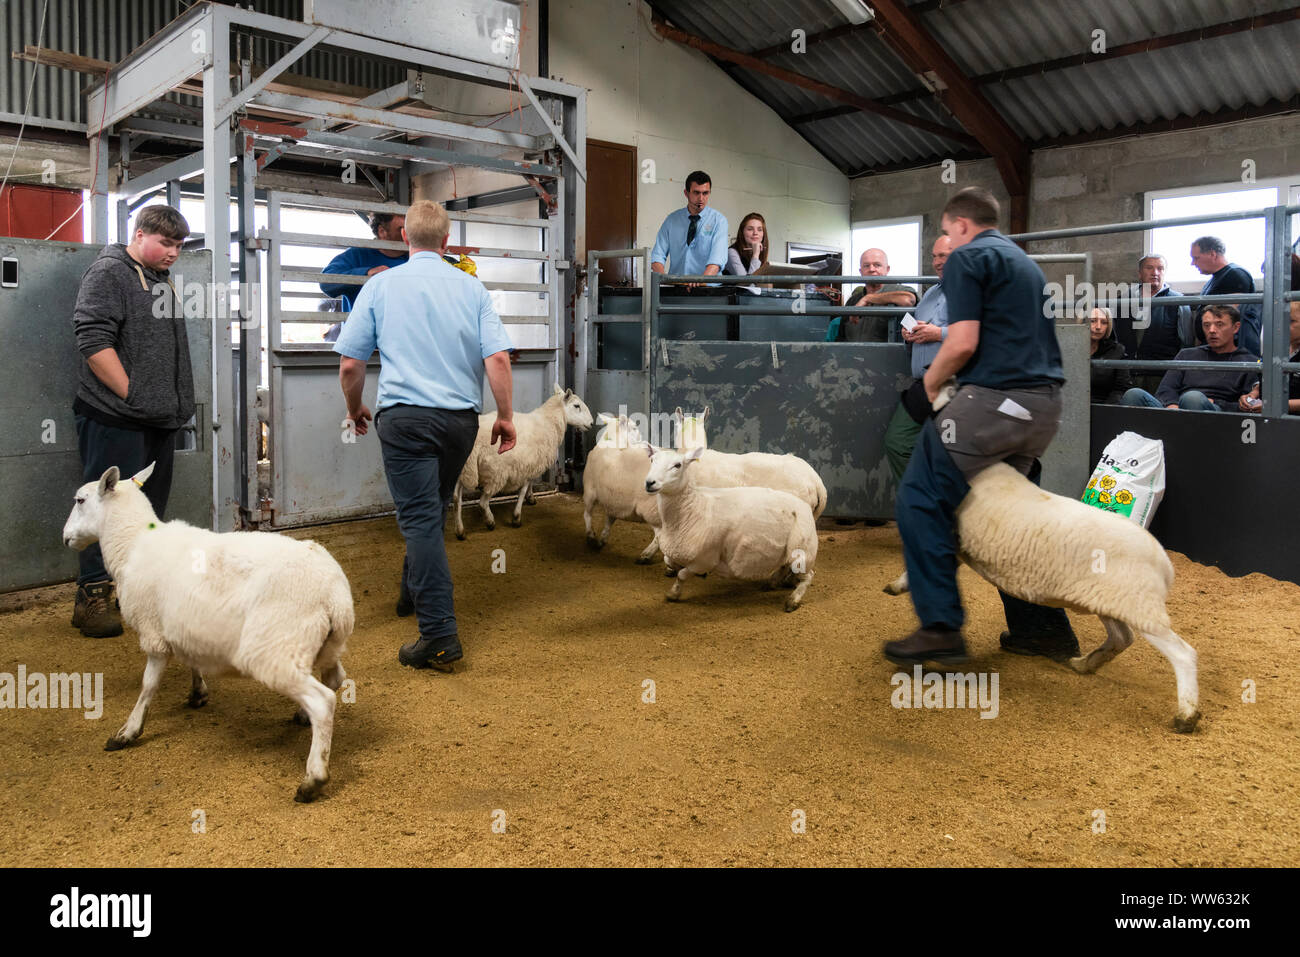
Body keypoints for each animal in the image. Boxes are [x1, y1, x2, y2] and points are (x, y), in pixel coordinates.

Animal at [62, 462, 351, 800]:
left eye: (80, 500)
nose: (65, 537)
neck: (132, 542)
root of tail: (335, 595)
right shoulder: (186, 624)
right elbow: (191, 658)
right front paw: (198, 691)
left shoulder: (153, 634)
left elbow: (148, 686)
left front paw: (128, 731)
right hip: (325, 645)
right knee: (334, 679)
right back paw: (304, 717)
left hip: (273, 648)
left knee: (323, 701)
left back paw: (313, 779)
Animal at [452, 382, 595, 538]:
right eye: (576, 406)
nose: (591, 423)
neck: (548, 421)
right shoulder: (527, 465)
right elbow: (522, 489)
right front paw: (516, 517)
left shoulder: (531, 461)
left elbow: (530, 483)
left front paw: (530, 497)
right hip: (496, 472)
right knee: (482, 502)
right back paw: (490, 522)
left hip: (463, 468)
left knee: (456, 498)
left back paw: (460, 530)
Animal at [644, 442, 816, 608]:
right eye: (652, 460)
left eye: (677, 465)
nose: (649, 482)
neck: (692, 508)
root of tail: (805, 506)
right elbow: (670, 562)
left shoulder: (705, 560)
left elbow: (682, 575)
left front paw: (673, 593)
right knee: (784, 567)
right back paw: (772, 583)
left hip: (802, 552)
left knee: (808, 576)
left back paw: (793, 600)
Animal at [883, 462, 1196, 733]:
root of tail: (1164, 563)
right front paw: (898, 586)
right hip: (1111, 601)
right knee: (1122, 638)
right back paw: (1084, 664)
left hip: (1140, 605)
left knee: (1182, 653)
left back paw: (1187, 716)